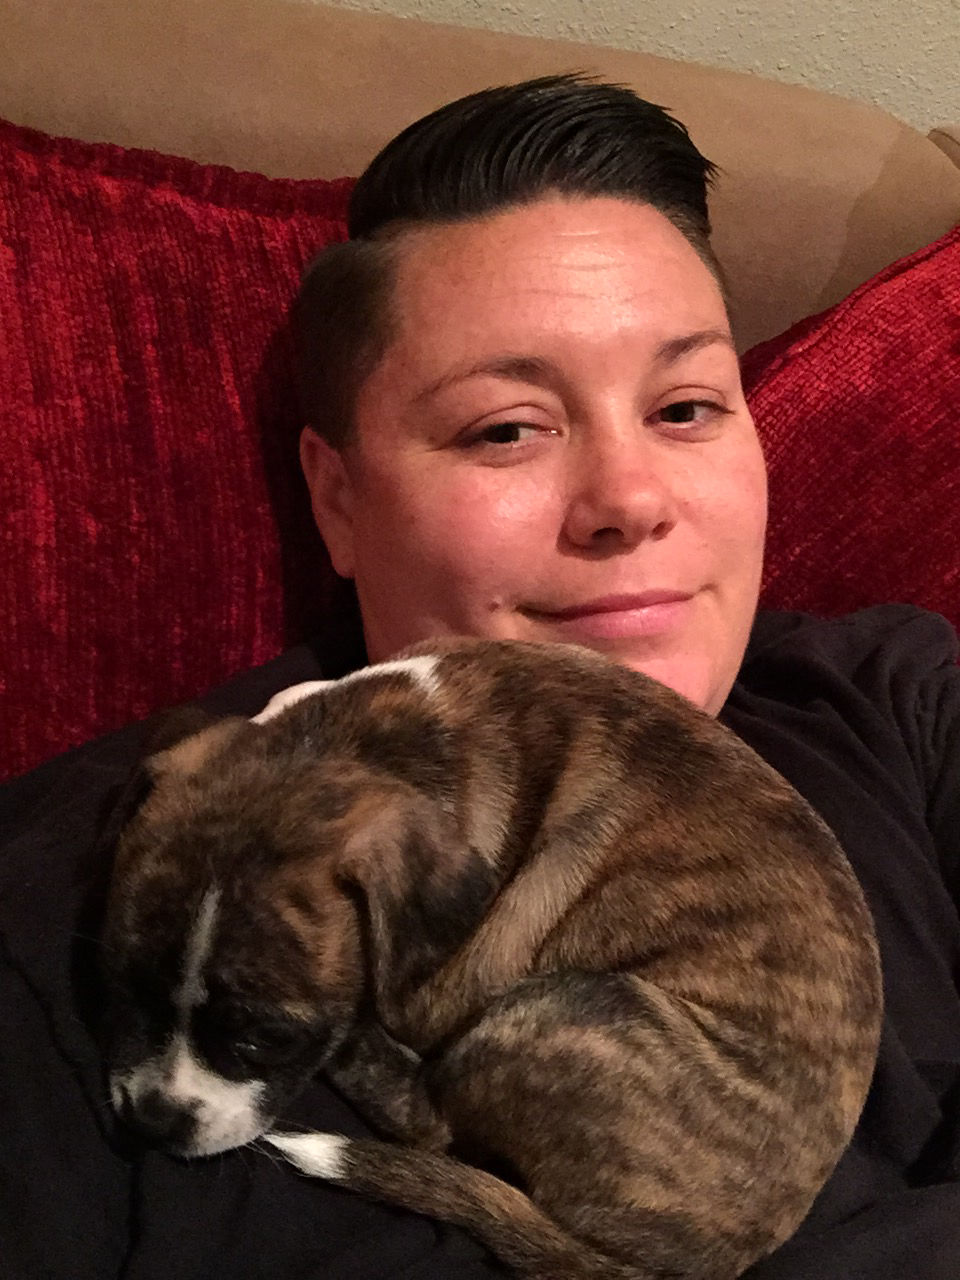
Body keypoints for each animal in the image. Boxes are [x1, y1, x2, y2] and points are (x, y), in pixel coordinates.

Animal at [101, 637, 882, 1280]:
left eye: (265, 1039)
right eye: (123, 989)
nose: (154, 1122)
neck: (352, 743)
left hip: (567, 1009)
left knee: (432, 1121)